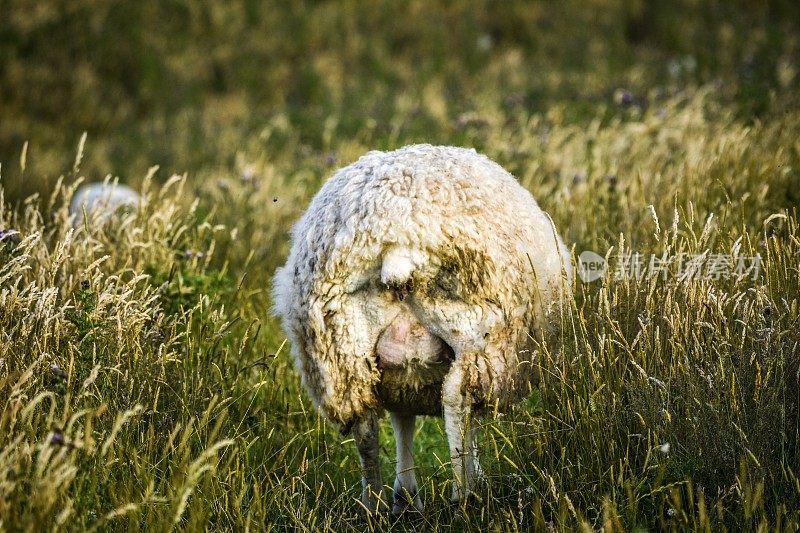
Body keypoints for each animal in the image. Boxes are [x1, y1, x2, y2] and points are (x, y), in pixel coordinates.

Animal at [272, 143, 572, 512]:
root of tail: (399, 234)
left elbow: (402, 420)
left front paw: (405, 494)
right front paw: (469, 476)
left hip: (340, 348)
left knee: (365, 424)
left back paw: (374, 504)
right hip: (477, 328)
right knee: (457, 398)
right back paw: (465, 495)